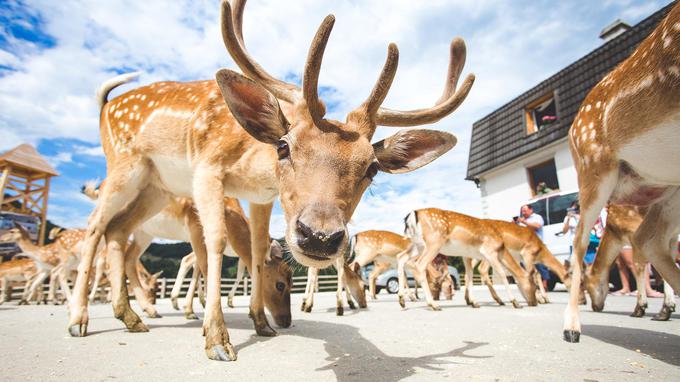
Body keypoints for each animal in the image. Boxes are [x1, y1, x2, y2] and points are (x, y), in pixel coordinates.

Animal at [404, 209, 536, 310]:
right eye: (535, 286)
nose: (535, 303)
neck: (501, 248)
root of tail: (412, 215)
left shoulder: (466, 255)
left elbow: (470, 275)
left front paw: (474, 302)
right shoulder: (490, 252)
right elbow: (502, 274)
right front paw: (516, 303)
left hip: (418, 245)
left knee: (405, 260)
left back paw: (405, 301)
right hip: (433, 243)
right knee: (419, 266)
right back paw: (433, 305)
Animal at [564, 2, 680, 344]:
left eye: (590, 285)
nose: (596, 305)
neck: (614, 230)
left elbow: (646, 259)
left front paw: (655, 307)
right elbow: (641, 262)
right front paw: (650, 307)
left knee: (652, 239)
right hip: (596, 173)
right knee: (582, 243)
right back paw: (571, 326)